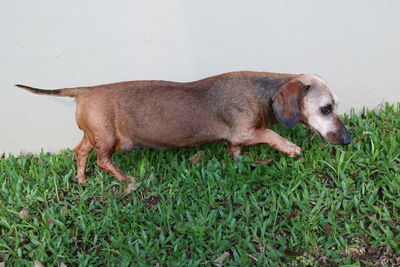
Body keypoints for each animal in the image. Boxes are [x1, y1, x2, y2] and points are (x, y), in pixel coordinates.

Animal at [16, 70, 350, 184]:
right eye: (326, 108)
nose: (348, 140)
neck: (262, 92)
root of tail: (84, 91)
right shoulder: (247, 131)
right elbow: (270, 134)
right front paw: (291, 148)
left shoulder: (238, 138)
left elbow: (235, 150)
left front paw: (240, 162)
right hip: (109, 139)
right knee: (103, 160)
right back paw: (127, 180)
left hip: (95, 133)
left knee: (81, 152)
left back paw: (82, 180)